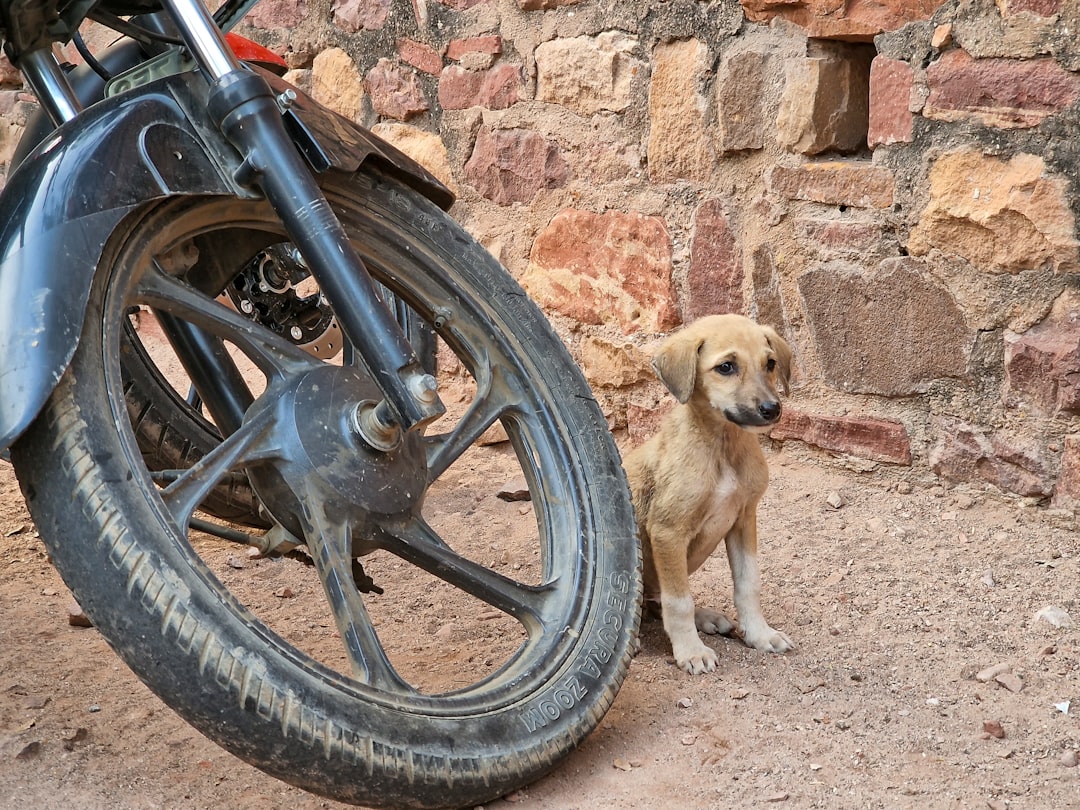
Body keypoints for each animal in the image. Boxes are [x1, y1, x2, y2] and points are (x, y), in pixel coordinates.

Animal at [626, 313, 794, 673]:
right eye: (726, 367)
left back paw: (707, 618)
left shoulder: (744, 519)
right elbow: (679, 602)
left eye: (770, 363)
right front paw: (690, 651)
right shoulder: (667, 532)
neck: (723, 446)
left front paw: (760, 634)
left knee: (655, 600)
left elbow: (748, 584)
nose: (772, 409)